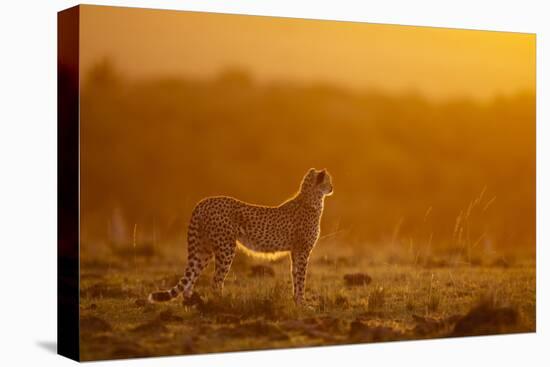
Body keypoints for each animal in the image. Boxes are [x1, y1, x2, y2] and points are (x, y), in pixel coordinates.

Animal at [149, 169, 334, 304]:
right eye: (328, 181)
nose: (332, 187)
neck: (312, 199)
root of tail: (203, 201)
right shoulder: (302, 251)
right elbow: (301, 278)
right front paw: (303, 304)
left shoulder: (295, 251)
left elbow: (295, 276)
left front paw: (297, 301)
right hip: (226, 248)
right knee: (216, 281)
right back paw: (222, 303)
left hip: (203, 249)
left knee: (192, 276)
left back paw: (191, 302)